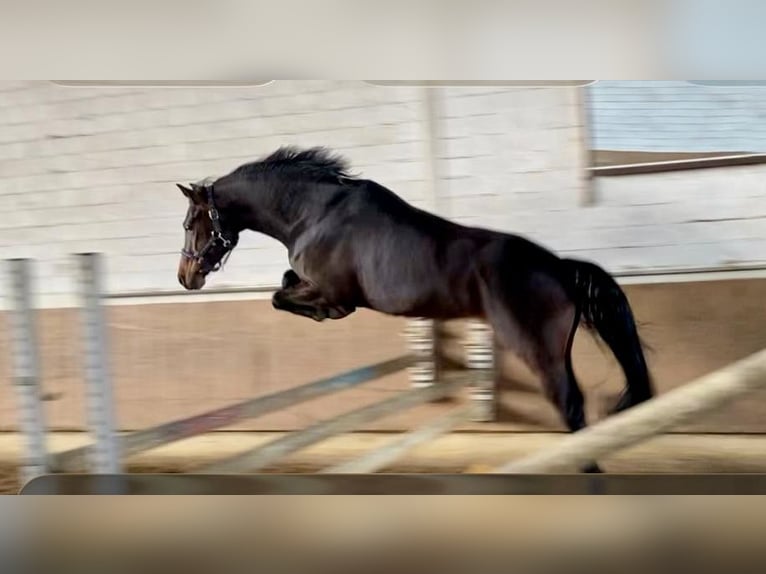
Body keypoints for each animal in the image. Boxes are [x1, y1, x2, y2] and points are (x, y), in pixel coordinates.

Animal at [176, 146, 654, 473]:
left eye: (190, 223)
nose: (186, 276)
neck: (313, 213)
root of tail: (559, 267)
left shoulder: (334, 290)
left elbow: (284, 296)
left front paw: (323, 314)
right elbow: (283, 285)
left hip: (539, 352)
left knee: (572, 408)